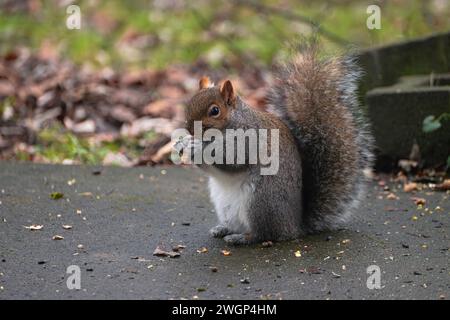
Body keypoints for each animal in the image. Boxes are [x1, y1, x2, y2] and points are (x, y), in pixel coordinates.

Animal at [178, 42, 372, 245]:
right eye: (189, 104)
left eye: (215, 111)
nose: (191, 130)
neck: (232, 123)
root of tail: (294, 226)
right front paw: (183, 143)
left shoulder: (250, 139)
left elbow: (233, 160)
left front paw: (198, 147)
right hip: (226, 206)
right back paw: (223, 229)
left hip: (261, 202)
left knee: (263, 234)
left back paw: (240, 238)